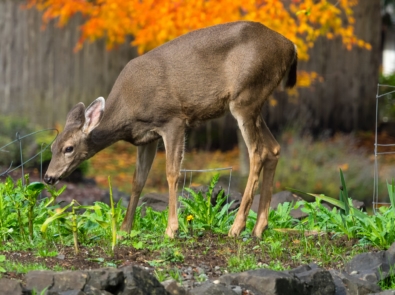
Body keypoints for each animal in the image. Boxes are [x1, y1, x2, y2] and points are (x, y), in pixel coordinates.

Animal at [44, 20, 296, 239]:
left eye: (69, 148)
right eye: (52, 146)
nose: (48, 177)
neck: (128, 110)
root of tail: (290, 46)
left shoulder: (173, 120)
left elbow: (172, 173)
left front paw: (171, 229)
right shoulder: (146, 137)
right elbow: (138, 180)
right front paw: (125, 229)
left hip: (245, 96)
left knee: (257, 153)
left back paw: (236, 228)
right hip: (255, 103)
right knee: (273, 149)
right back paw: (258, 229)